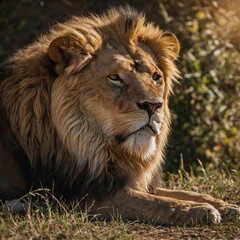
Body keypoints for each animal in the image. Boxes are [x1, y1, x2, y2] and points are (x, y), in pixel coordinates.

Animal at [0, 5, 239, 224]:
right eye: (115, 77)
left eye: (155, 77)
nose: (153, 106)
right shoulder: (87, 196)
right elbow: (156, 203)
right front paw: (200, 210)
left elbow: (182, 192)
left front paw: (225, 205)